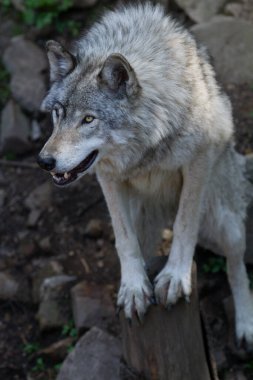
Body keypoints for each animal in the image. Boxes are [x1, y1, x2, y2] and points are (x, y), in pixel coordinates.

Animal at [37, 2, 253, 348]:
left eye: (89, 119)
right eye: (58, 114)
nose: (44, 161)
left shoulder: (199, 159)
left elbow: (185, 223)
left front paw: (175, 276)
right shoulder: (108, 175)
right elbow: (123, 240)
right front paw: (134, 289)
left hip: (226, 222)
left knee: (236, 270)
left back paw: (245, 326)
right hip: (145, 222)